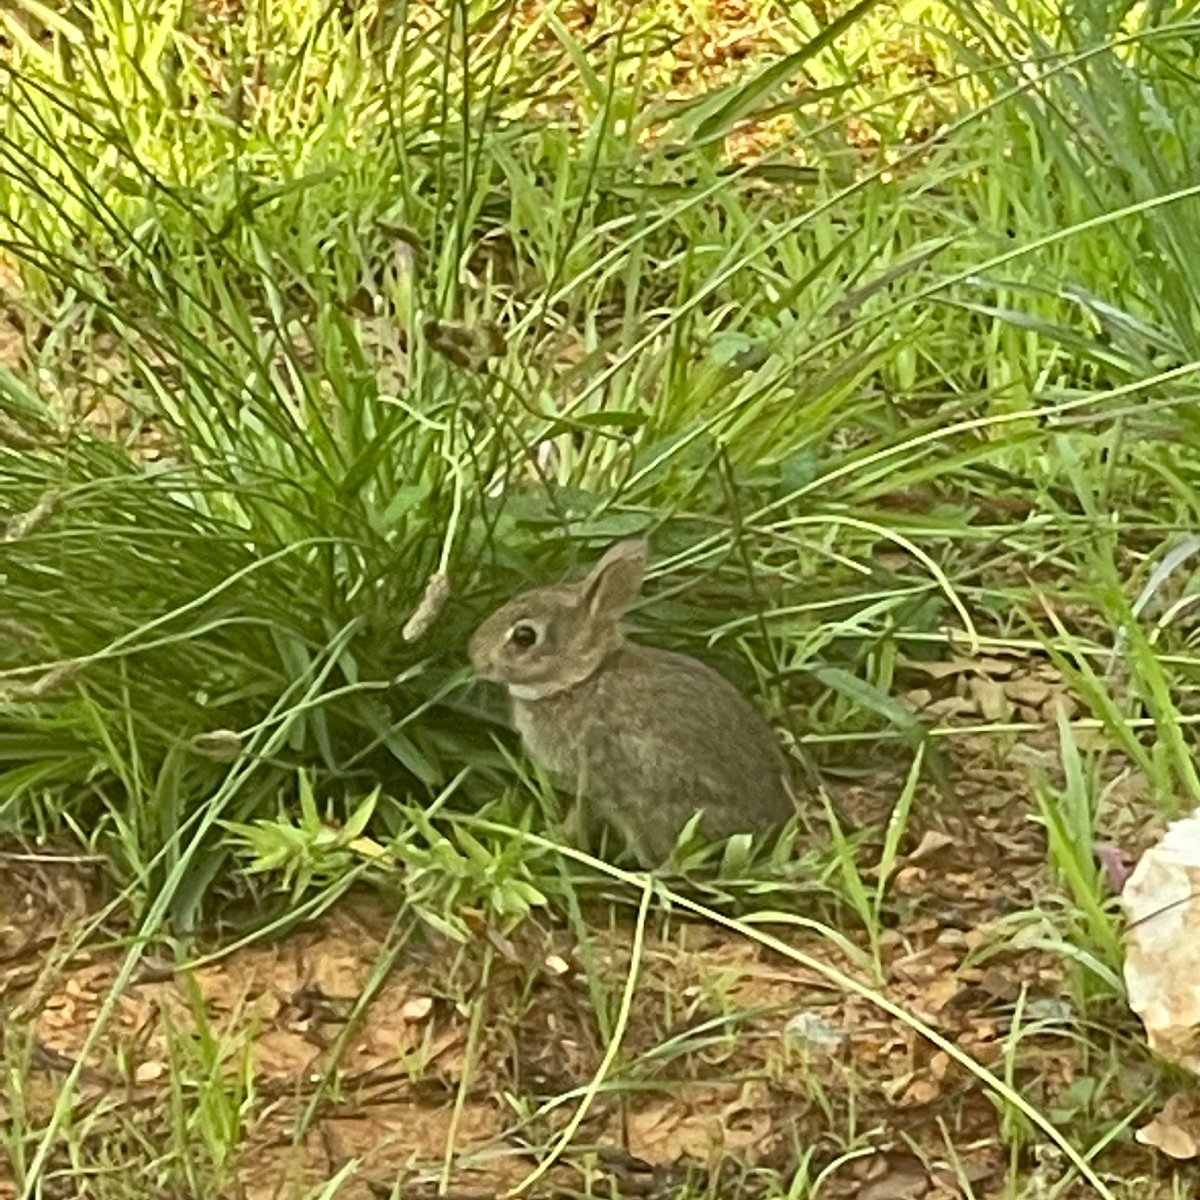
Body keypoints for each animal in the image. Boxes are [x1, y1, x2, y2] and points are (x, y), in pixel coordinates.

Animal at [469, 538, 796, 866]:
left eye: (524, 636)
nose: (476, 655)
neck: (581, 680)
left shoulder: (592, 783)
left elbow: (580, 815)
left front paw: (555, 837)